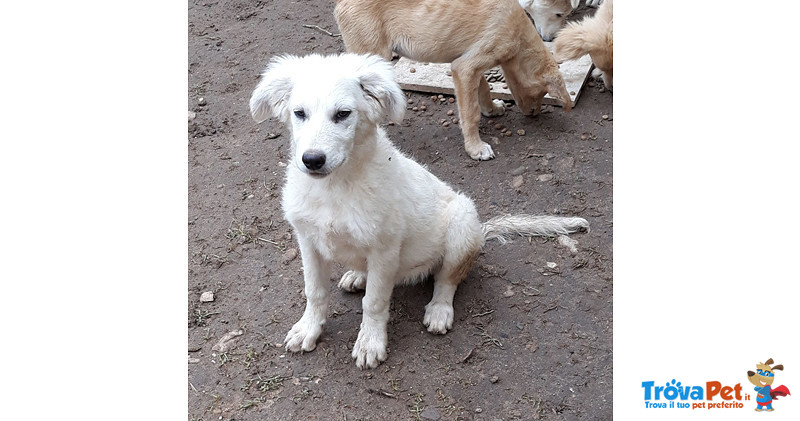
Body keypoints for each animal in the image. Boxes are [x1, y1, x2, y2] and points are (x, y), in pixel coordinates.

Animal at [248, 52, 588, 368]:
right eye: (299, 113)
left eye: (343, 114)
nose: (312, 160)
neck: (334, 188)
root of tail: (481, 231)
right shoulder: (308, 241)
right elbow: (315, 291)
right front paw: (309, 329)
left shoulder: (384, 250)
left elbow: (374, 302)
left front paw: (370, 342)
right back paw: (357, 275)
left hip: (462, 223)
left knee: (447, 279)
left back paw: (439, 309)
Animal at [334, 0, 572, 161]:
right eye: (542, 93)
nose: (534, 114)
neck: (519, 35)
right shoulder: (465, 67)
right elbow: (470, 114)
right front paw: (476, 148)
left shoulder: (470, 64)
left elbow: (483, 89)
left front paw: (492, 109)